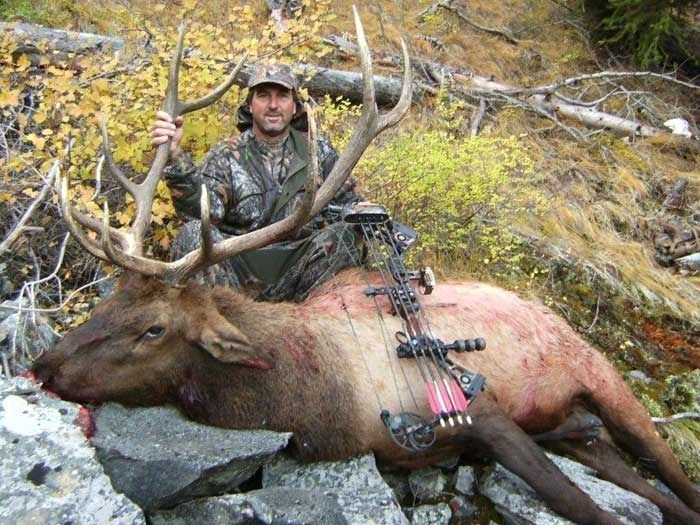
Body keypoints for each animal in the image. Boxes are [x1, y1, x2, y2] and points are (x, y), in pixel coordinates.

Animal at [32, 9, 700, 525]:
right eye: (108, 302)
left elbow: (586, 507)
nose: (42, 365)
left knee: (672, 475)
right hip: (581, 430)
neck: (326, 405)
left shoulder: (478, 409)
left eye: (153, 329)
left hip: (602, 378)